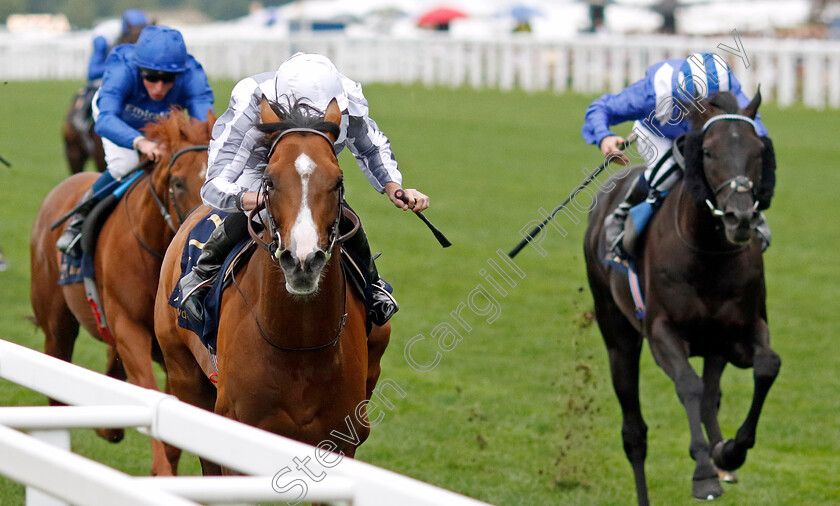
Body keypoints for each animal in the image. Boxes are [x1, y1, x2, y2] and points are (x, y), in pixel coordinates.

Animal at [32, 108, 217, 476]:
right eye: (177, 182)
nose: (200, 230)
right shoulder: (130, 327)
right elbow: (149, 390)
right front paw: (161, 468)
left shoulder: (173, 343)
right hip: (57, 325)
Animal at [155, 97, 390, 476]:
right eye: (270, 181)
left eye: (337, 181)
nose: (303, 260)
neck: (299, 345)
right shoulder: (239, 436)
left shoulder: (340, 440)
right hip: (184, 374)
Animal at [584, 92, 780, 506]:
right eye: (707, 151)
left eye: (758, 150)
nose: (740, 218)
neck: (707, 253)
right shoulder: (662, 331)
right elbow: (688, 385)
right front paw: (704, 474)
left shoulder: (740, 331)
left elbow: (767, 366)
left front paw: (729, 451)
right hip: (616, 334)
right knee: (634, 432)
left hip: (713, 345)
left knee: (711, 396)